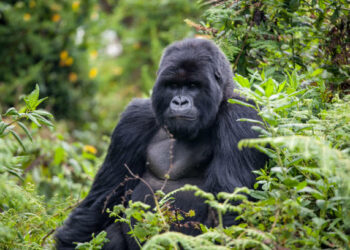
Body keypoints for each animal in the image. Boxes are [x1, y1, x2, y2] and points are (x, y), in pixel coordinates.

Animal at [56, 38, 266, 249]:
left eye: (193, 85)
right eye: (172, 85)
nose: (180, 102)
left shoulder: (240, 115)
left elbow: (229, 207)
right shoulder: (133, 120)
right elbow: (102, 200)